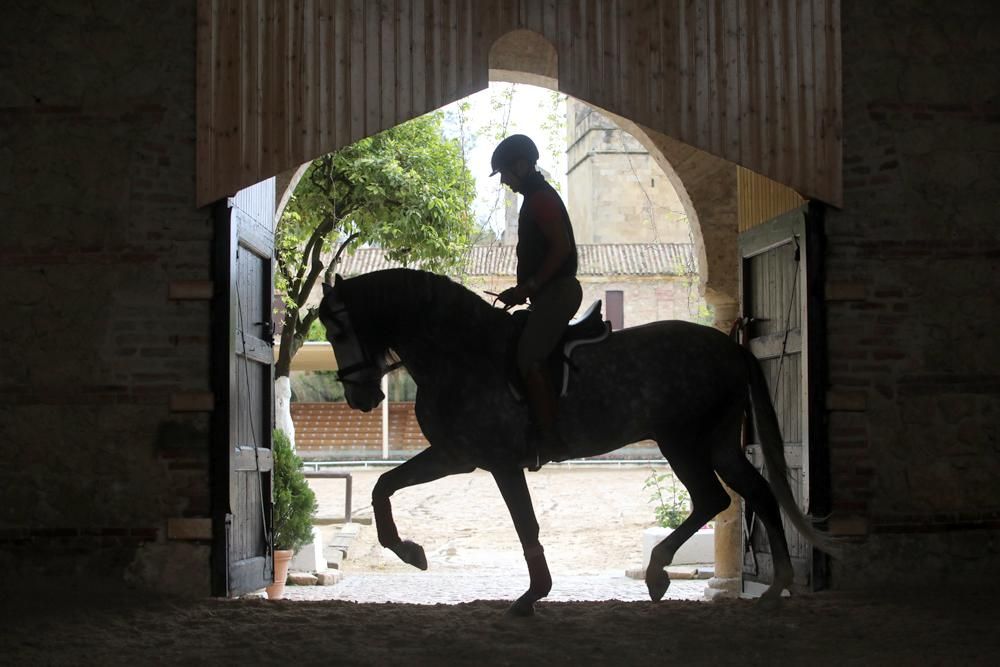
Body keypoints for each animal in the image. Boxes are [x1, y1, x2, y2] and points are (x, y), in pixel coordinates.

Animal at [318, 266, 836, 616]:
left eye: (338, 328)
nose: (361, 397)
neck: (460, 351)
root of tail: (729, 346)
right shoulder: (455, 456)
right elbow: (383, 486)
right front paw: (410, 551)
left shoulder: (494, 462)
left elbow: (525, 525)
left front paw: (532, 595)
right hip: (719, 444)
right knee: (758, 494)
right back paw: (774, 586)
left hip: (682, 443)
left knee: (713, 499)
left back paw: (659, 572)